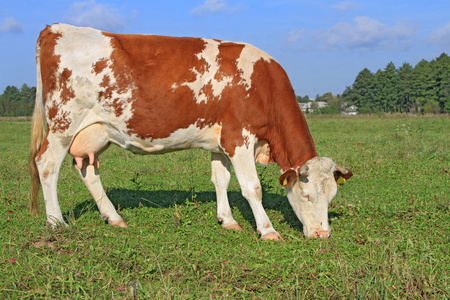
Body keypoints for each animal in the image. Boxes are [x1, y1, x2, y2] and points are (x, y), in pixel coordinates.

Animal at [29, 22, 352, 239]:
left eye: (332, 196)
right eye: (307, 195)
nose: (322, 235)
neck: (263, 85)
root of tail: (56, 28)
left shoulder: (221, 142)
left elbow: (221, 180)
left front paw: (228, 220)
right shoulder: (238, 138)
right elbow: (252, 187)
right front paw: (268, 230)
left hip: (94, 132)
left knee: (88, 171)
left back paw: (114, 217)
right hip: (63, 124)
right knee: (46, 165)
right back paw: (56, 221)